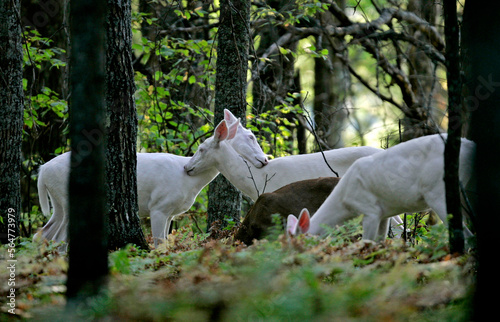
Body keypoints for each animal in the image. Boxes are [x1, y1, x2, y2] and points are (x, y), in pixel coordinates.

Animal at [34, 110, 270, 247]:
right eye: (250, 137)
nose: (264, 159)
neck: (189, 184)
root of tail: (43, 171)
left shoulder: (170, 213)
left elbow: (165, 242)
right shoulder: (159, 206)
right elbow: (158, 243)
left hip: (58, 203)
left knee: (44, 233)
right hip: (67, 198)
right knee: (58, 238)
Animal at [288, 133, 474, 242]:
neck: (344, 200)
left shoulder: (370, 209)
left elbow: (367, 242)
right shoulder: (384, 214)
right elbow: (380, 242)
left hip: (438, 190)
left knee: (465, 234)